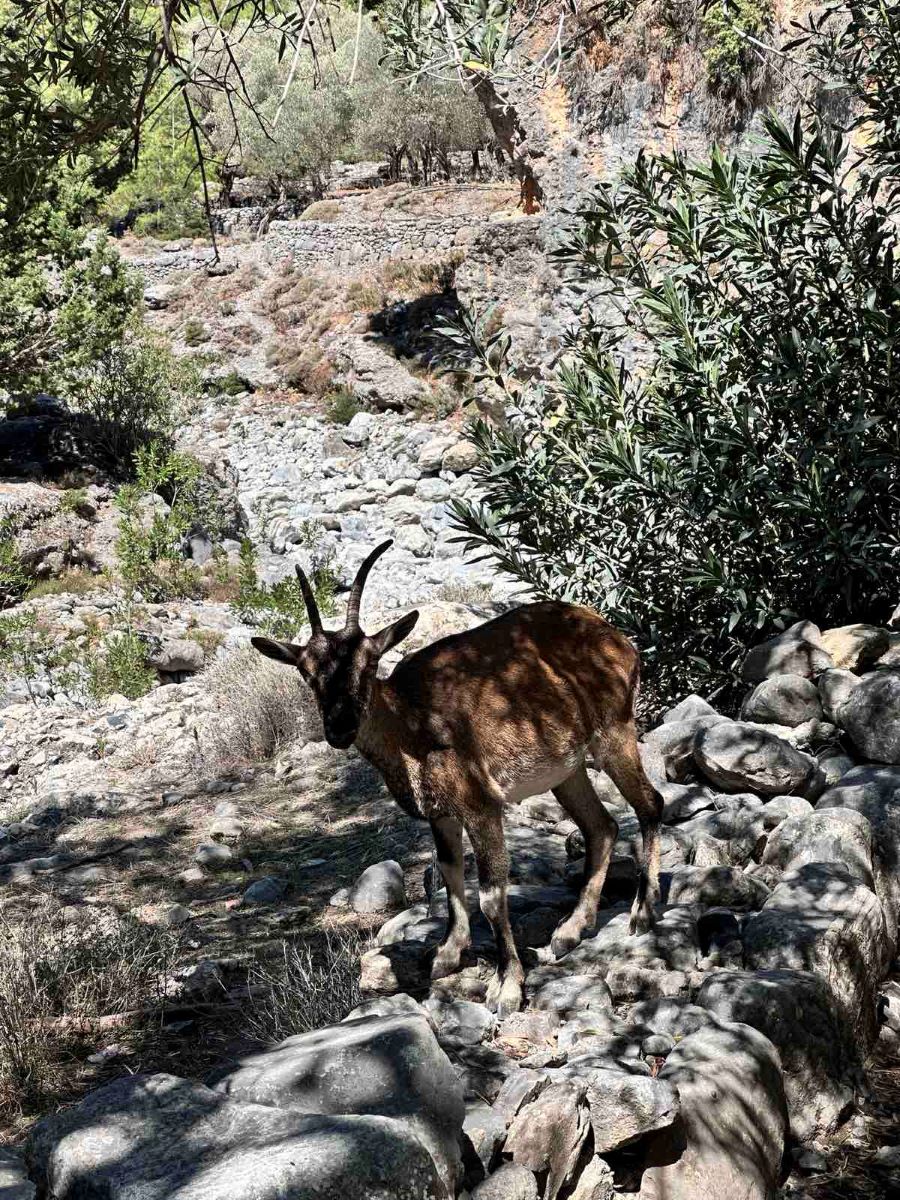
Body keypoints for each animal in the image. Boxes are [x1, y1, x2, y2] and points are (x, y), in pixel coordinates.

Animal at [252, 542, 662, 1012]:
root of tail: (617, 638)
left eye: (369, 664)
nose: (340, 728)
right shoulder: (441, 814)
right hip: (567, 770)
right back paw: (570, 930)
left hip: (614, 733)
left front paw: (508, 984)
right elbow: (449, 874)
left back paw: (642, 911)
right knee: (602, 826)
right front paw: (447, 954)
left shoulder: (480, 806)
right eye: (306, 672)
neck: (410, 724)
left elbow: (491, 896)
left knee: (650, 804)